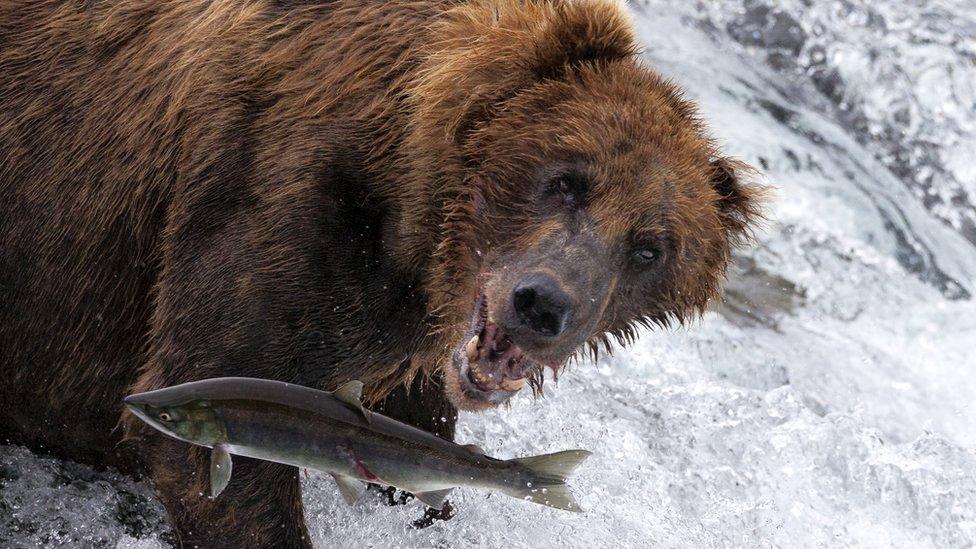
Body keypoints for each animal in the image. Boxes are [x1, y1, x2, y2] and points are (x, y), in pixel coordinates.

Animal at [0, 0, 764, 544]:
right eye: (566, 180)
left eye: (650, 246)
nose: (543, 305)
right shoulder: (280, 209)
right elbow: (213, 434)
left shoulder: (402, 353)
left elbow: (419, 460)